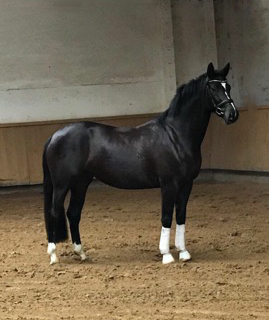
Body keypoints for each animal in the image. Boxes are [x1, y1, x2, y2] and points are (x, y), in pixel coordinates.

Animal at [43, 63, 238, 264]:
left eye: (228, 87)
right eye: (213, 88)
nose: (232, 114)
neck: (175, 135)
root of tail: (55, 135)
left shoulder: (186, 184)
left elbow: (181, 215)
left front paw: (183, 252)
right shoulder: (169, 184)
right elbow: (166, 217)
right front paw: (166, 255)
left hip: (81, 183)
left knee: (73, 213)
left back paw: (81, 253)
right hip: (62, 184)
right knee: (54, 212)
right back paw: (53, 255)